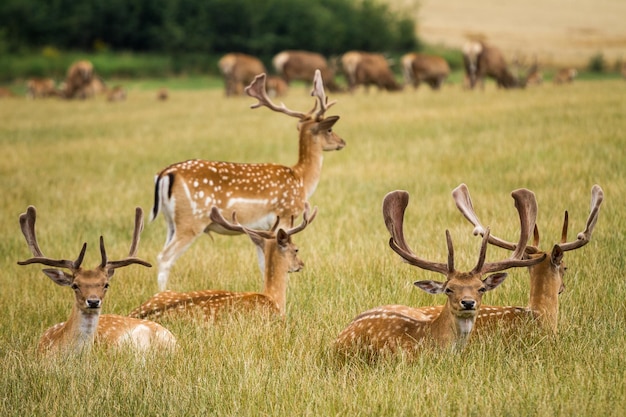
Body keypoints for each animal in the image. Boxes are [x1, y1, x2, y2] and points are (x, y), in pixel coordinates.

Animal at [152, 70, 346, 290]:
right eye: (330, 129)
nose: (342, 142)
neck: (301, 178)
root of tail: (165, 174)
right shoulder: (285, 215)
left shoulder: (261, 230)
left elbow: (263, 262)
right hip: (191, 221)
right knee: (164, 258)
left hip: (171, 222)